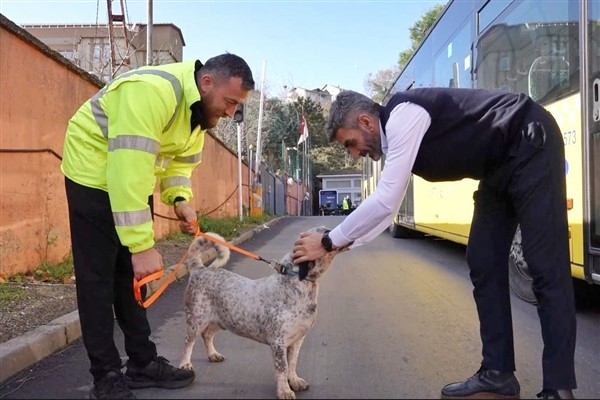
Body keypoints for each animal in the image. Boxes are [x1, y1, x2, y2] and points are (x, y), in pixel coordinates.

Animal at [178, 228, 344, 400]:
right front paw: (284, 390)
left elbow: (292, 363)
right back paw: (185, 364)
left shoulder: (298, 339)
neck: (296, 286)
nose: (332, 237)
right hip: (196, 321)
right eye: (324, 232)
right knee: (188, 342)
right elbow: (283, 368)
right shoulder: (278, 343)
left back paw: (213, 354)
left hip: (220, 320)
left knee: (207, 335)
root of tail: (200, 269)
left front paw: (294, 381)